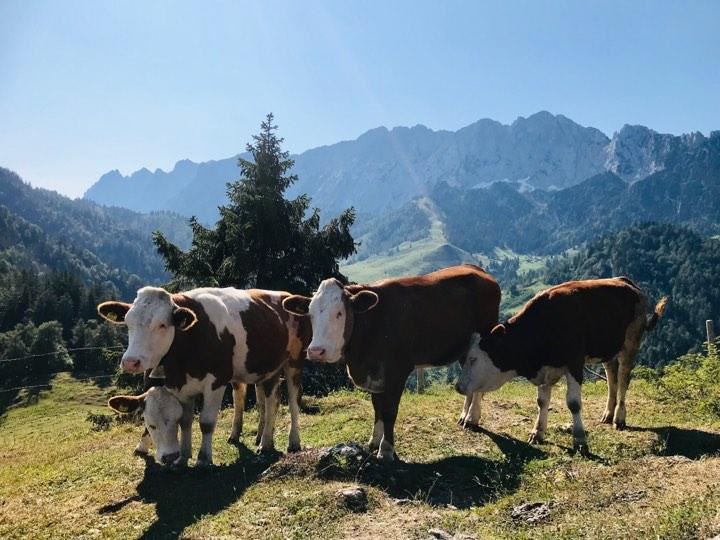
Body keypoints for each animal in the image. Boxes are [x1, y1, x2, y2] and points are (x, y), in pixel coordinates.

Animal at [98, 286, 311, 465]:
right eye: (128, 323)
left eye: (162, 324)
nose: (130, 361)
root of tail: (284, 293)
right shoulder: (180, 386)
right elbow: (186, 421)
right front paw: (183, 457)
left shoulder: (217, 381)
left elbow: (206, 422)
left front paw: (203, 458)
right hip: (266, 368)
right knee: (268, 399)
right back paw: (260, 439)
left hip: (294, 362)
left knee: (292, 400)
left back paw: (291, 442)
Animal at [282, 264, 501, 462]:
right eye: (310, 314)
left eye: (339, 313)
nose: (316, 351)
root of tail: (478, 270)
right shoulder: (375, 373)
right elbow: (377, 406)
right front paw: (374, 440)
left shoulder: (398, 371)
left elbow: (389, 411)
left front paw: (386, 450)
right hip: (464, 347)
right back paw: (464, 415)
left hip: (483, 340)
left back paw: (472, 417)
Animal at [456, 277, 667, 454]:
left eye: (473, 359)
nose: (458, 387)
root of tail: (627, 282)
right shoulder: (544, 369)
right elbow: (541, 402)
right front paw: (537, 433)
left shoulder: (574, 362)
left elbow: (573, 403)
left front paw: (580, 441)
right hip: (608, 350)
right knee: (611, 378)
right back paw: (607, 414)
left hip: (630, 344)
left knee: (623, 379)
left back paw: (619, 418)